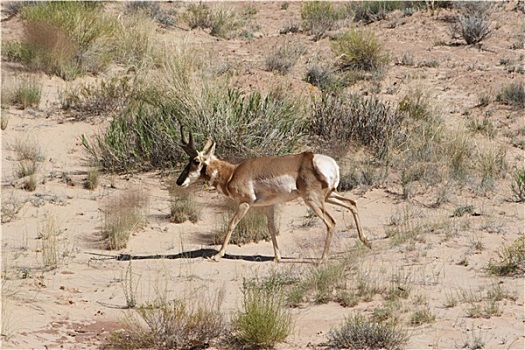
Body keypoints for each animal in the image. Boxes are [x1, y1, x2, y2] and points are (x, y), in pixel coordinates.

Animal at [175, 126, 368, 262]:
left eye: (196, 161)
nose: (179, 182)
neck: (233, 173)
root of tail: (322, 160)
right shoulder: (268, 205)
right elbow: (271, 228)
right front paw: (277, 258)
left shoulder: (245, 202)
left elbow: (231, 224)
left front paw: (217, 255)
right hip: (329, 196)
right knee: (352, 204)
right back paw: (366, 241)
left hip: (312, 200)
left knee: (331, 222)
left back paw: (322, 259)